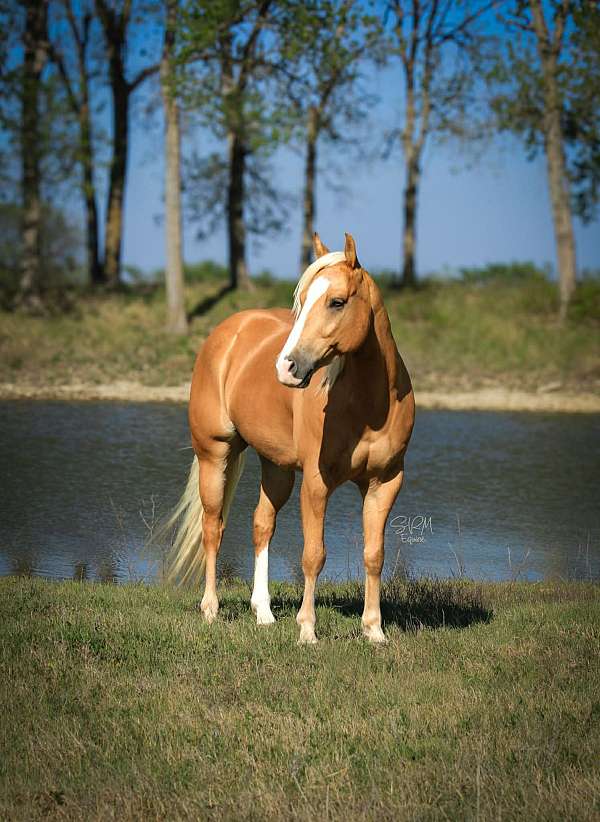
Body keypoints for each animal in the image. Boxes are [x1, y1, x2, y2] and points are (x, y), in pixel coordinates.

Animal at [165, 232, 415, 643]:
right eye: (302, 301)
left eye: (336, 301)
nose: (286, 367)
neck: (369, 405)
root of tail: (228, 332)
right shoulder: (316, 483)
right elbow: (313, 555)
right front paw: (307, 630)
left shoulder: (385, 482)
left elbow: (374, 554)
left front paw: (374, 630)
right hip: (215, 456)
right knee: (213, 527)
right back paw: (211, 609)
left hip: (276, 467)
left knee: (261, 524)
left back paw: (263, 612)